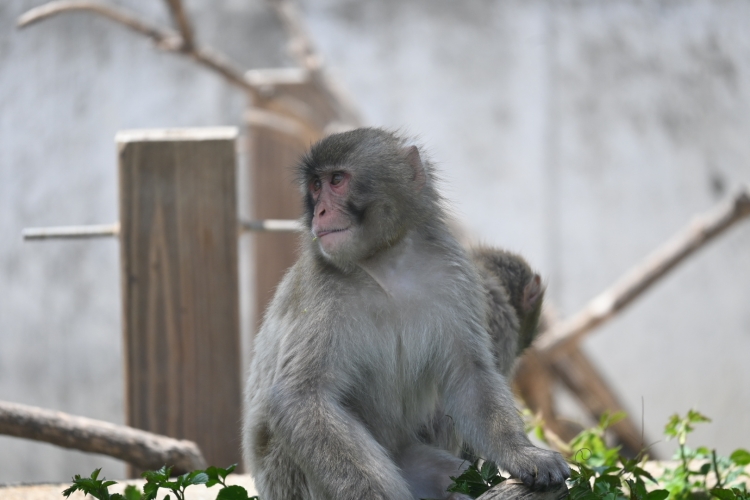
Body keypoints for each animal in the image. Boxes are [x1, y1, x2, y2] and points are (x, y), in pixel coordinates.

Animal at [242, 128, 568, 500]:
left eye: (336, 180)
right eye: (314, 186)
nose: (319, 212)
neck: (387, 264)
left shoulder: (454, 273)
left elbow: (469, 375)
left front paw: (525, 455)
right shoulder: (320, 288)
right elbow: (300, 398)